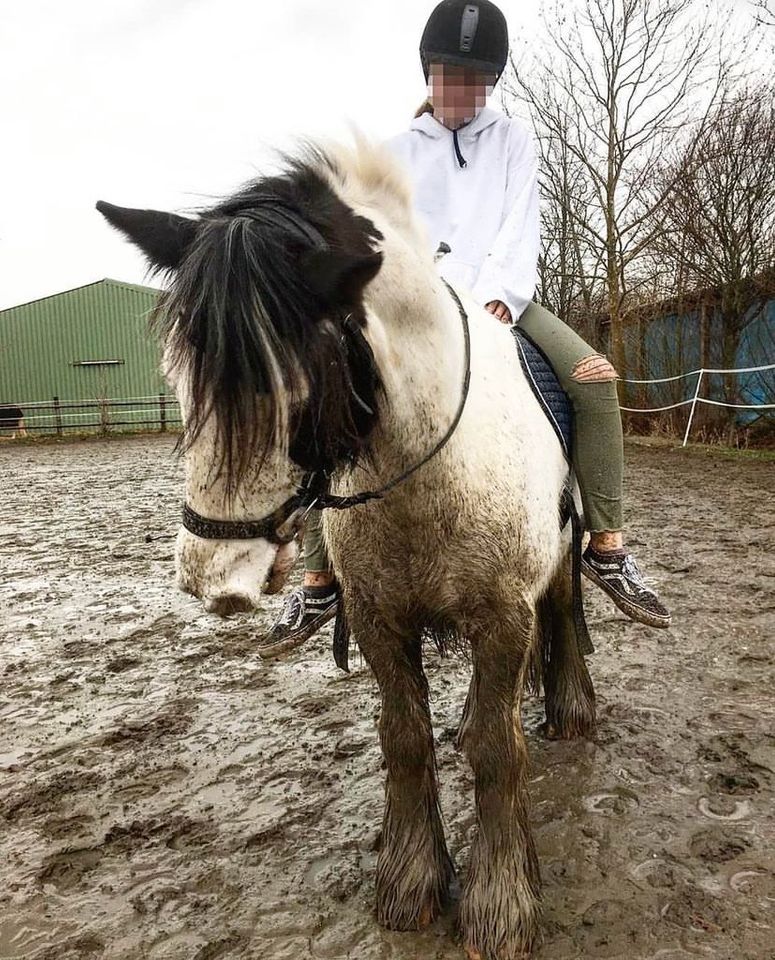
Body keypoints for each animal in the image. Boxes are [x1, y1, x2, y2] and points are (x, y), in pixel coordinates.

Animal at [97, 137, 600, 960]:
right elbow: (405, 739)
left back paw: (572, 712)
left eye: (291, 382)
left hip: (554, 564)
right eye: (179, 373)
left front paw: (499, 905)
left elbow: (497, 755)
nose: (212, 575)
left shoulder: (503, 618)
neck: (427, 466)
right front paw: (410, 883)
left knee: (561, 614)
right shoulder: (376, 618)